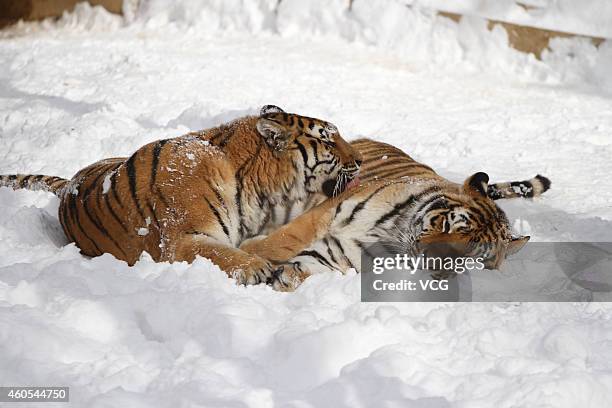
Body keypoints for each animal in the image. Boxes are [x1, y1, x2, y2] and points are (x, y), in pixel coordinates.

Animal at [0, 103, 364, 286]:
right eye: (328, 140)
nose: (360, 160)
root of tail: (70, 184)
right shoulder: (178, 241)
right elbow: (220, 253)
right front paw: (257, 268)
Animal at [239, 138, 548, 290]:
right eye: (448, 224)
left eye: (468, 256)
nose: (431, 260)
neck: (390, 232)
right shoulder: (323, 213)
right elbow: (281, 241)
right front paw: (251, 255)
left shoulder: (339, 255)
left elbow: (303, 266)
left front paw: (283, 278)